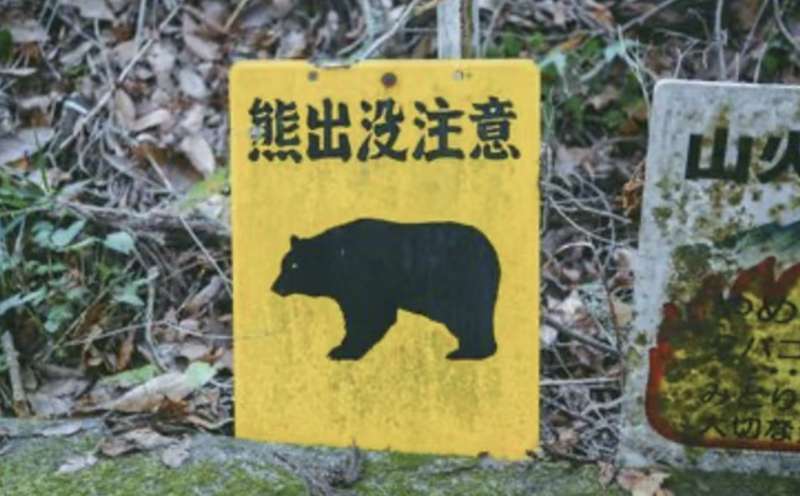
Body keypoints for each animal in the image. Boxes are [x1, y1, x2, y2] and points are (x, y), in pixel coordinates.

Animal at [271, 218, 501, 360]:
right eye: (283, 264)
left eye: (294, 265)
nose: (274, 287)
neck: (339, 257)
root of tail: (491, 250)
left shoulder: (365, 280)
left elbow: (370, 316)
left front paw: (341, 351)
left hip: (460, 285)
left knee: (470, 317)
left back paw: (469, 352)